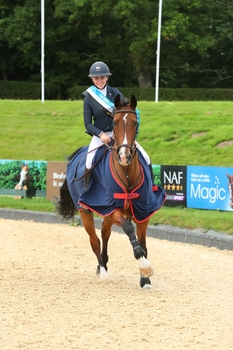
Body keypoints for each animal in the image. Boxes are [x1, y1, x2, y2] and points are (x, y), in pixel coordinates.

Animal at [56, 94, 166, 288]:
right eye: (114, 122)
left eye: (135, 122)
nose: (124, 156)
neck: (127, 174)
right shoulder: (112, 208)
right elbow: (129, 230)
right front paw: (144, 264)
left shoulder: (142, 211)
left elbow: (144, 244)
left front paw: (145, 278)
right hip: (86, 210)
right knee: (95, 240)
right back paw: (103, 272)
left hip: (105, 213)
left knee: (104, 234)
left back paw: (103, 265)